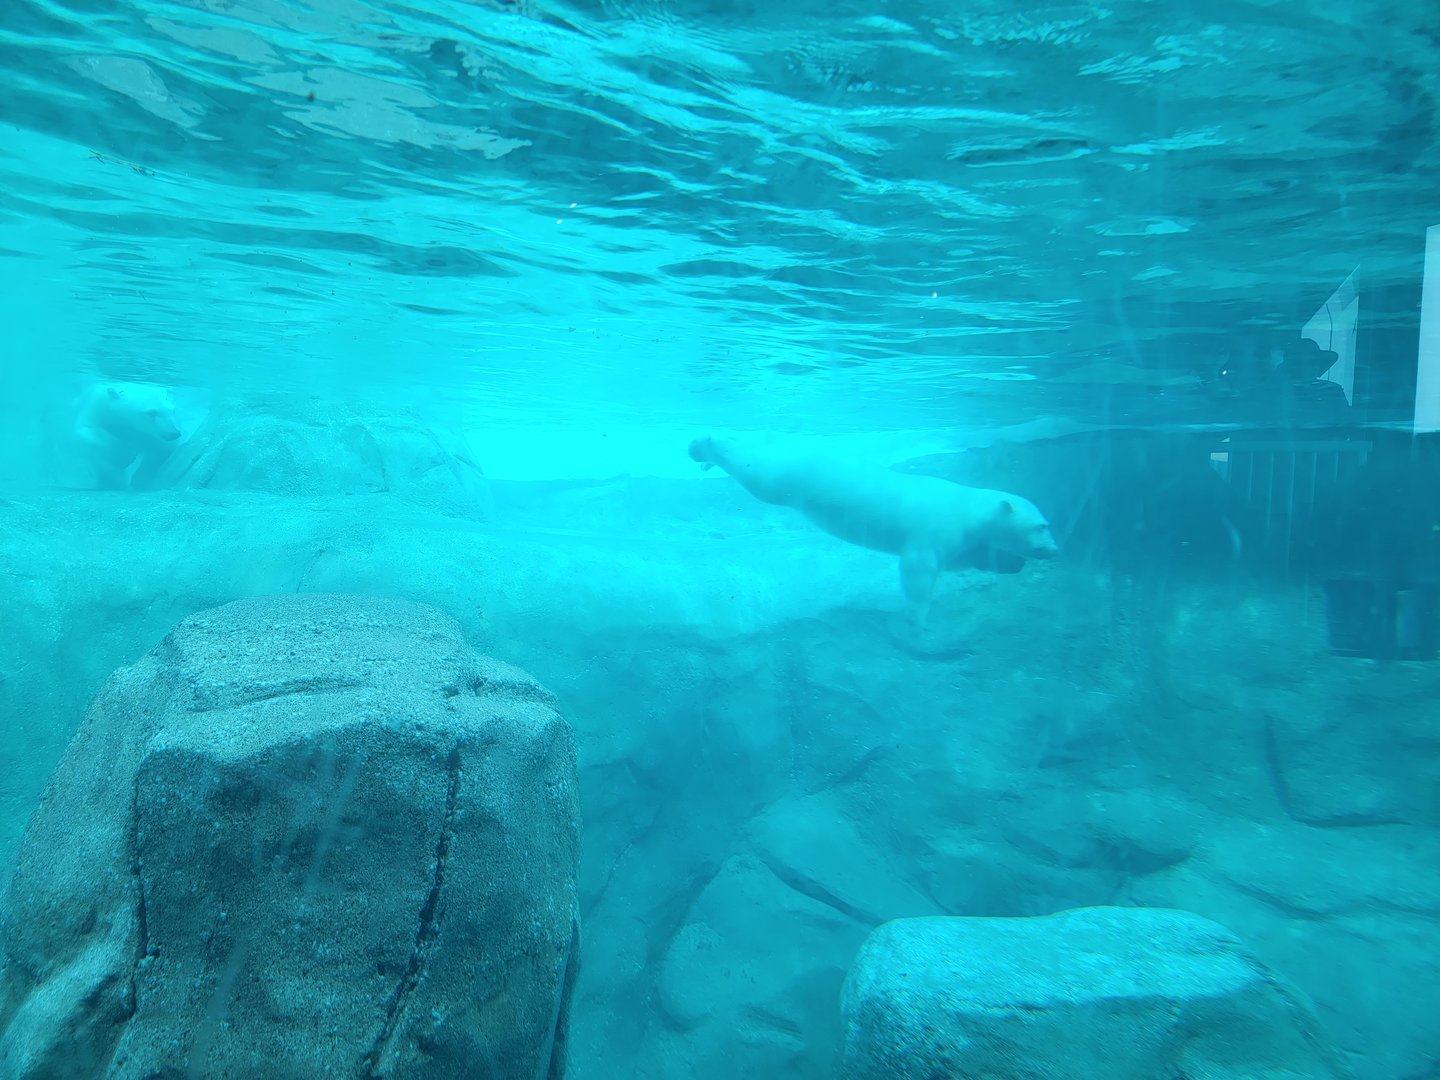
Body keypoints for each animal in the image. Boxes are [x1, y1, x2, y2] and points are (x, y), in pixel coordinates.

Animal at [689, 434, 1059, 619]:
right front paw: (915, 615)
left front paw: (1010, 562)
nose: (1054, 549)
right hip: (794, 475)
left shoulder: (963, 537)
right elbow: (918, 567)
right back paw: (703, 447)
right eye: (1041, 526)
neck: (969, 509)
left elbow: (968, 557)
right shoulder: (935, 529)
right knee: (759, 473)